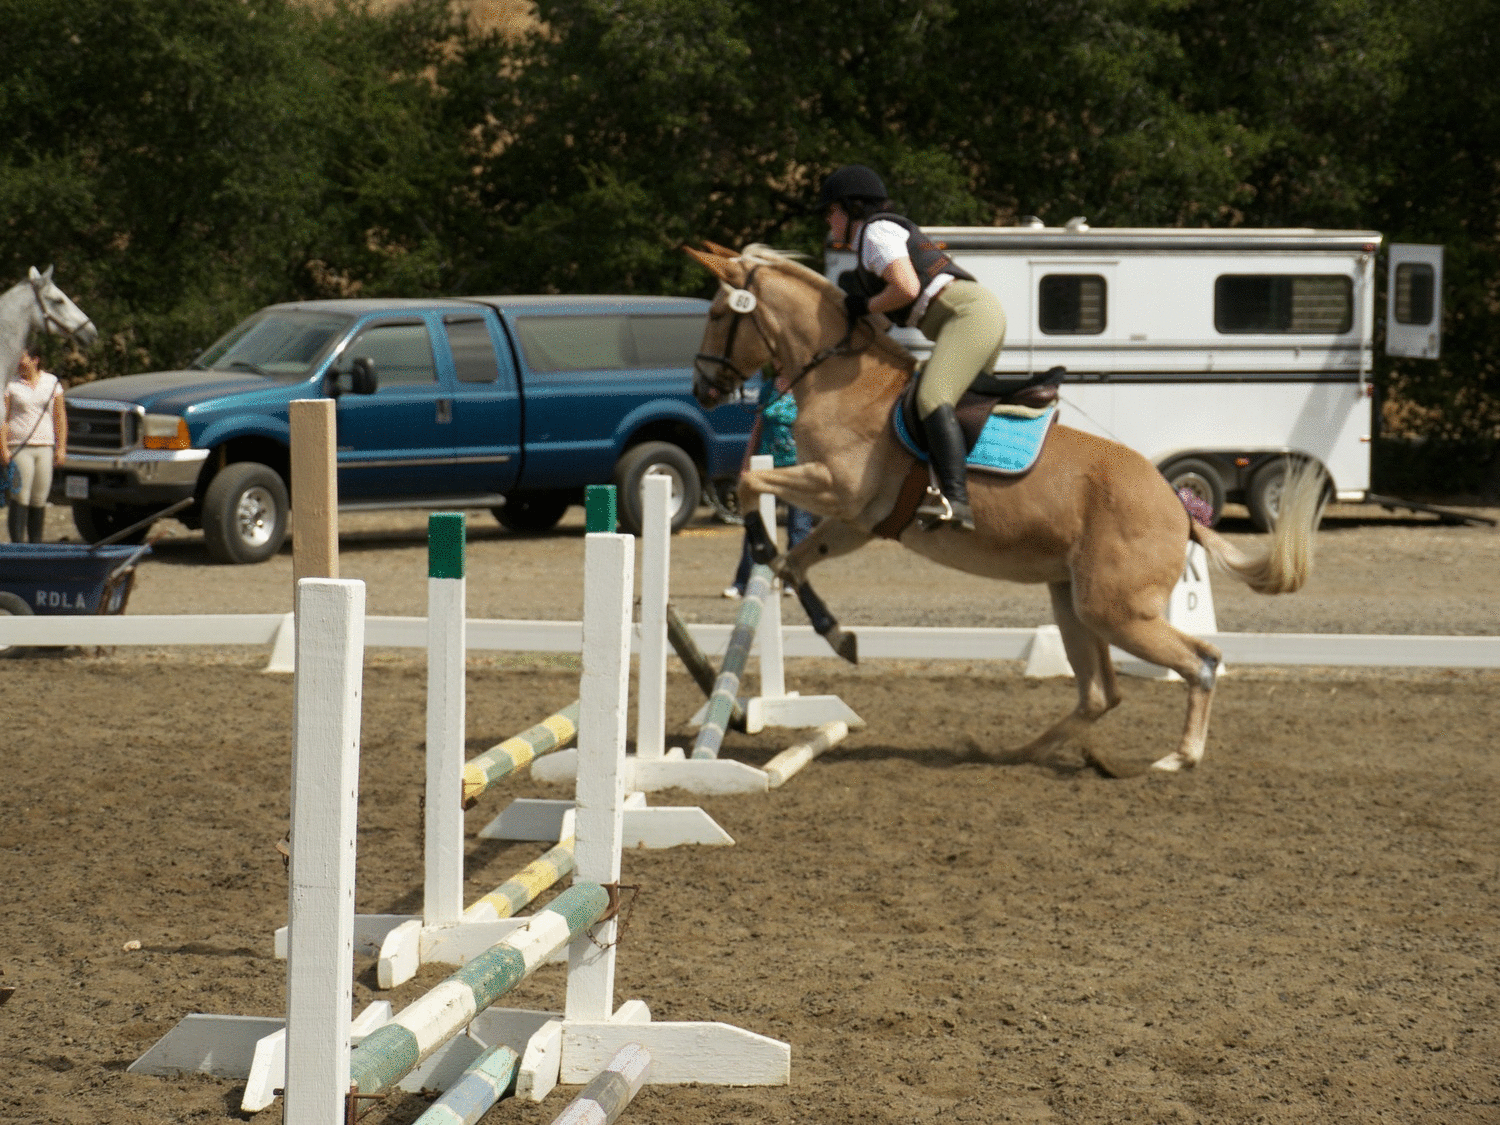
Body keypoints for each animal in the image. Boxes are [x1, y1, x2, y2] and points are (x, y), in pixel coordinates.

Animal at [686, 243, 1323, 774]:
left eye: (717, 314)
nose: (701, 391)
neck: (842, 378)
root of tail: (1179, 508)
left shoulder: (836, 489)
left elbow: (749, 482)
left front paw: (765, 550)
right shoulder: (858, 521)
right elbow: (797, 561)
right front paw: (837, 634)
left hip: (1114, 610)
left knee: (1201, 661)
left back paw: (1178, 757)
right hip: (1073, 600)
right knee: (1101, 693)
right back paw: (1014, 753)